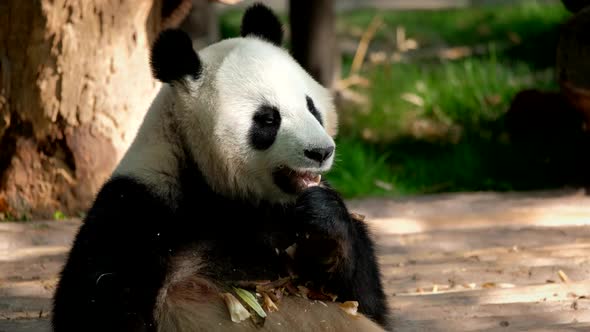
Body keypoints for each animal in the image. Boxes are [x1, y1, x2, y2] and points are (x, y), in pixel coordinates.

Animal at [51, 3, 394, 332]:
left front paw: (321, 219)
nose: (321, 151)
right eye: (268, 119)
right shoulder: (138, 209)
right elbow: (95, 303)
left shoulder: (282, 219)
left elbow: (360, 302)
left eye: (312, 108)